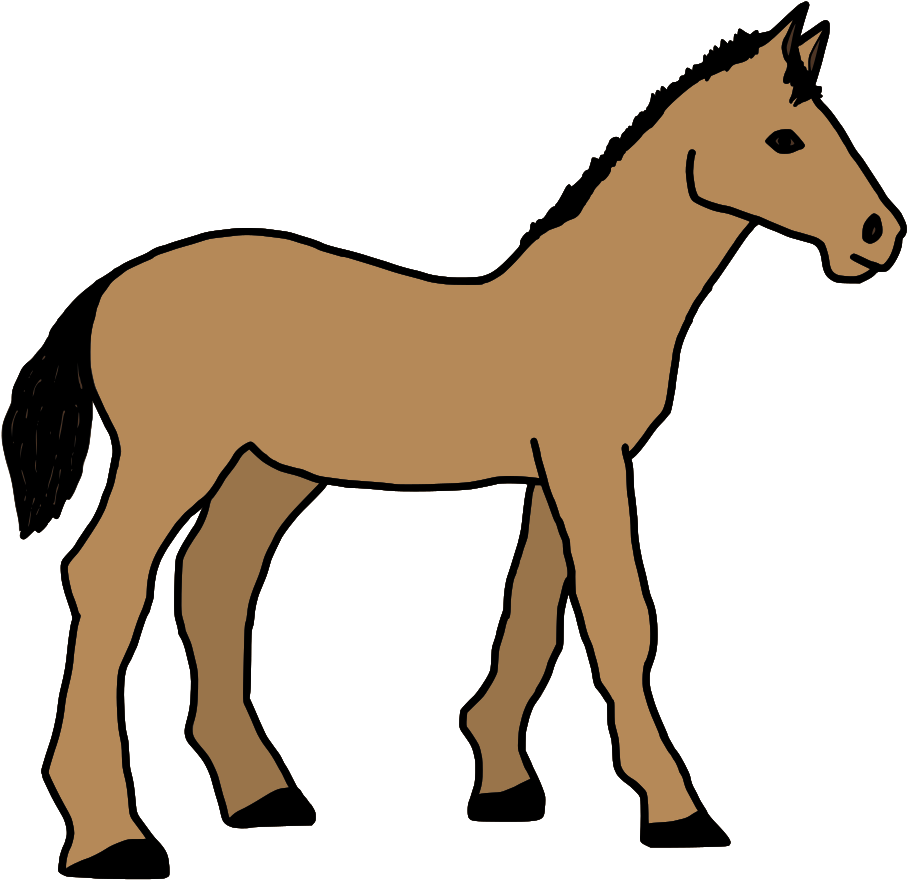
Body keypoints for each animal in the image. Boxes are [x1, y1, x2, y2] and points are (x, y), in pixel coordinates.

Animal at [3, 3, 902, 874]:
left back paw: (259, 795)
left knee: (217, 580)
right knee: (110, 577)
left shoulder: (554, 472)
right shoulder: (583, 461)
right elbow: (618, 615)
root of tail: (111, 286)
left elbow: (537, 611)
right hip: (173, 457)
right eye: (782, 138)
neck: (596, 298)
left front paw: (502, 782)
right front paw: (674, 810)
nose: (876, 235)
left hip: (267, 468)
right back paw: (108, 837)